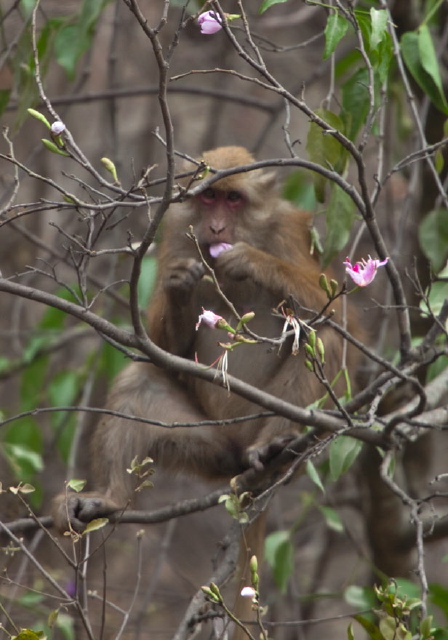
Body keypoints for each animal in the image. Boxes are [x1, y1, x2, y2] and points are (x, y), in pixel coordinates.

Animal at [53, 146, 360, 640]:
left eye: (234, 199)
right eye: (209, 198)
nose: (216, 230)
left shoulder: (288, 232)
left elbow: (336, 318)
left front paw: (254, 261)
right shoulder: (177, 236)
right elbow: (164, 350)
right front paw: (180, 288)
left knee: (319, 339)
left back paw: (275, 444)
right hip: (212, 446)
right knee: (141, 382)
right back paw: (109, 498)